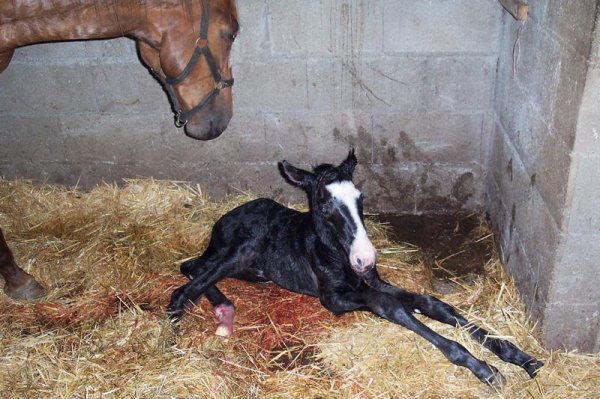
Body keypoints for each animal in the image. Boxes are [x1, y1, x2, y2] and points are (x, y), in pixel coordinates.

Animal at [166, 150, 540, 388]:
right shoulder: (334, 298)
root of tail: (221, 221)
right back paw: (180, 333)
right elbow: (390, 306)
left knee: (192, 266)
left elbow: (430, 303)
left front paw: (520, 357)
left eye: (360, 197)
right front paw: (484, 369)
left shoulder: (372, 281)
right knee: (184, 284)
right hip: (239, 251)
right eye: (325, 203)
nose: (365, 258)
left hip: (243, 265)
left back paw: (223, 308)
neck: (333, 251)